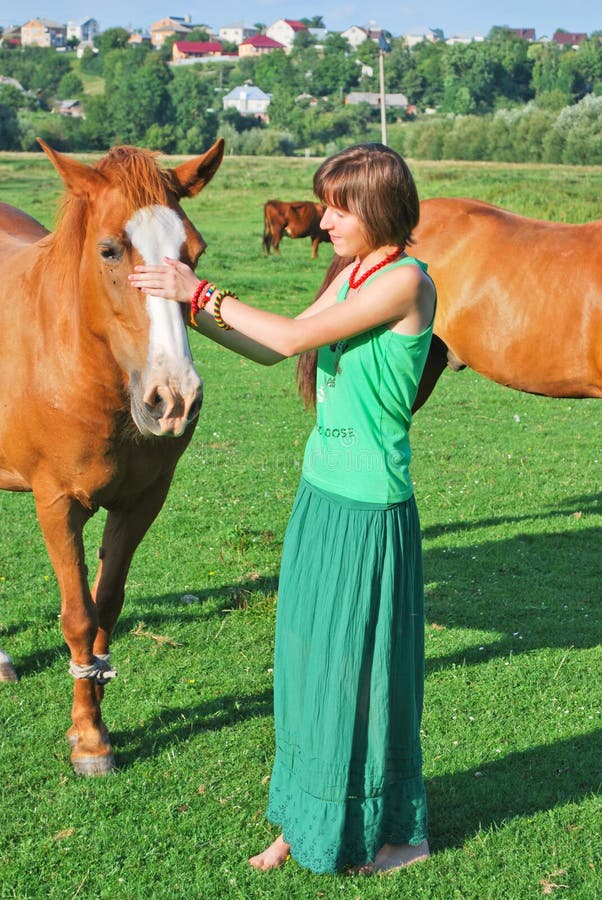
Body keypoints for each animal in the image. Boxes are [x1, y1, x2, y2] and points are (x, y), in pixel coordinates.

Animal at [0, 135, 224, 772]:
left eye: (193, 252)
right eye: (108, 250)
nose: (174, 398)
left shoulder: (140, 502)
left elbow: (107, 608)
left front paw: (94, 727)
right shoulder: (57, 504)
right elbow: (77, 617)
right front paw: (89, 741)